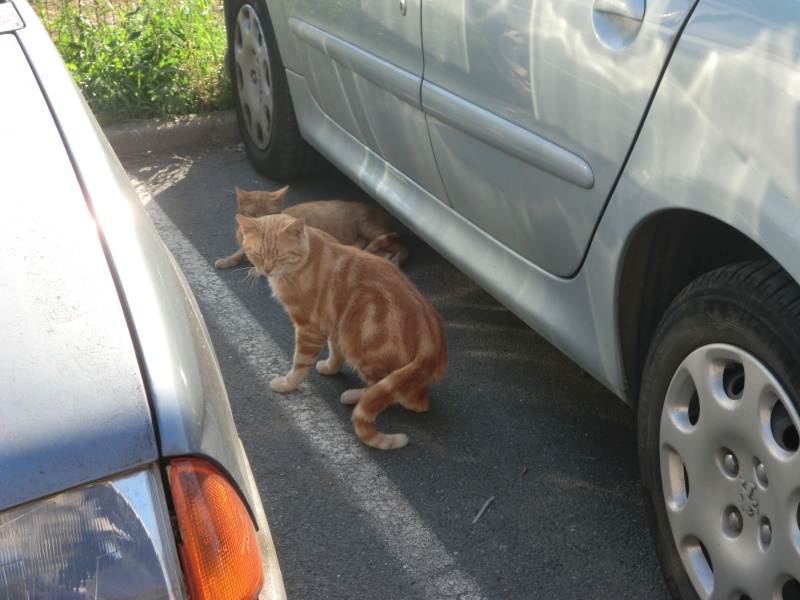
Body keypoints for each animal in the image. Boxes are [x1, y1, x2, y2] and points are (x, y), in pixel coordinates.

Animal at [216, 186, 410, 268]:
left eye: (269, 214)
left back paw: (398, 260)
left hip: (370, 231)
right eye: (253, 214)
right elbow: (240, 253)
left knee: (402, 246)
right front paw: (226, 260)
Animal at [241, 213, 446, 448]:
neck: (306, 259)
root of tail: (434, 339)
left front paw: (287, 384)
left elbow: (299, 364)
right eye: (257, 254)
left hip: (364, 349)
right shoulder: (333, 321)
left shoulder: (309, 328)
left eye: (280, 255)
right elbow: (335, 351)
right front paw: (330, 367)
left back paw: (356, 396)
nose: (266, 269)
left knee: (407, 398)